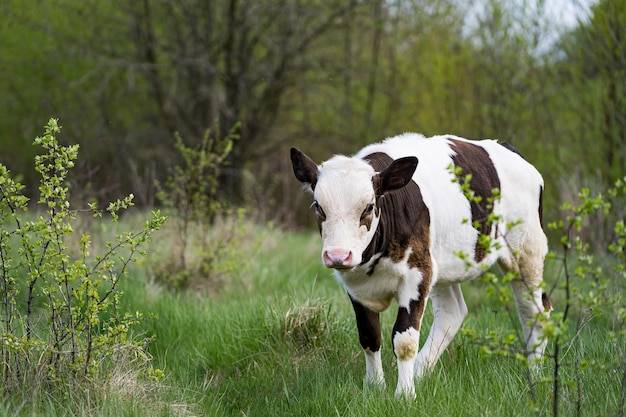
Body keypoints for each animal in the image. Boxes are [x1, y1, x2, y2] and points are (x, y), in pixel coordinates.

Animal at [288, 133, 552, 396]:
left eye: (369, 207)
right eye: (318, 206)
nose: (338, 255)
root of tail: (507, 148)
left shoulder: (417, 274)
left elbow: (404, 340)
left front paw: (404, 394)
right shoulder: (355, 286)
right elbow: (369, 336)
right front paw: (374, 388)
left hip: (527, 250)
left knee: (535, 310)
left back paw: (535, 373)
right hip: (441, 263)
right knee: (452, 311)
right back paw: (420, 373)